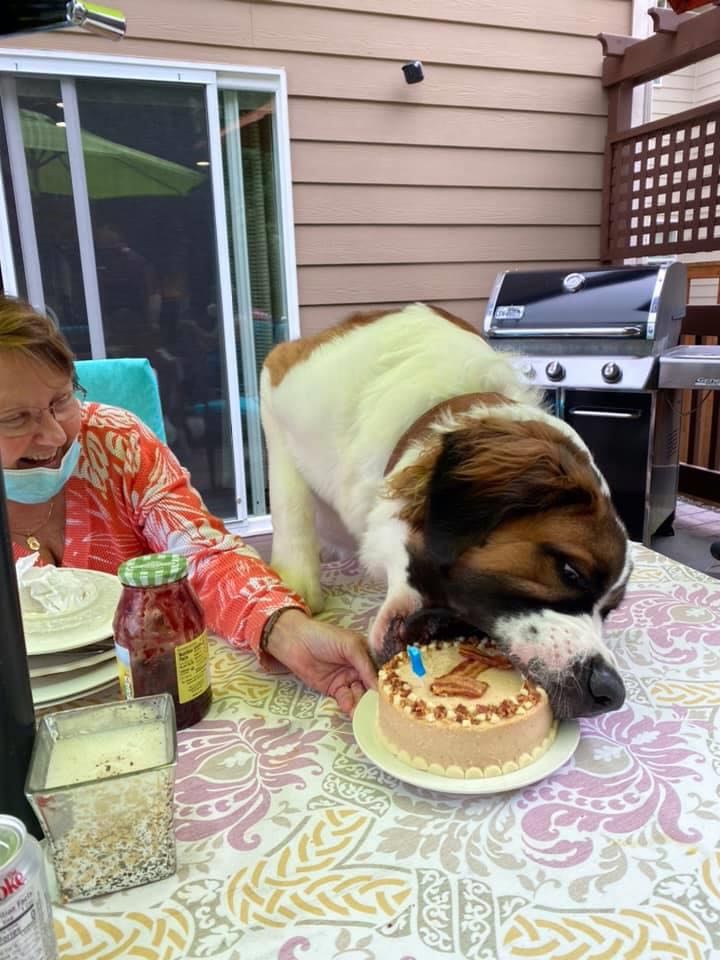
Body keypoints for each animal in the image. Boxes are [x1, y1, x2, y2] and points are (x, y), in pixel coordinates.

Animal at [262, 304, 632, 716]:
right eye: (571, 573)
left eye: (610, 611)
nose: (609, 693)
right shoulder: (278, 380)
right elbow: (289, 499)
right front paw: (295, 581)